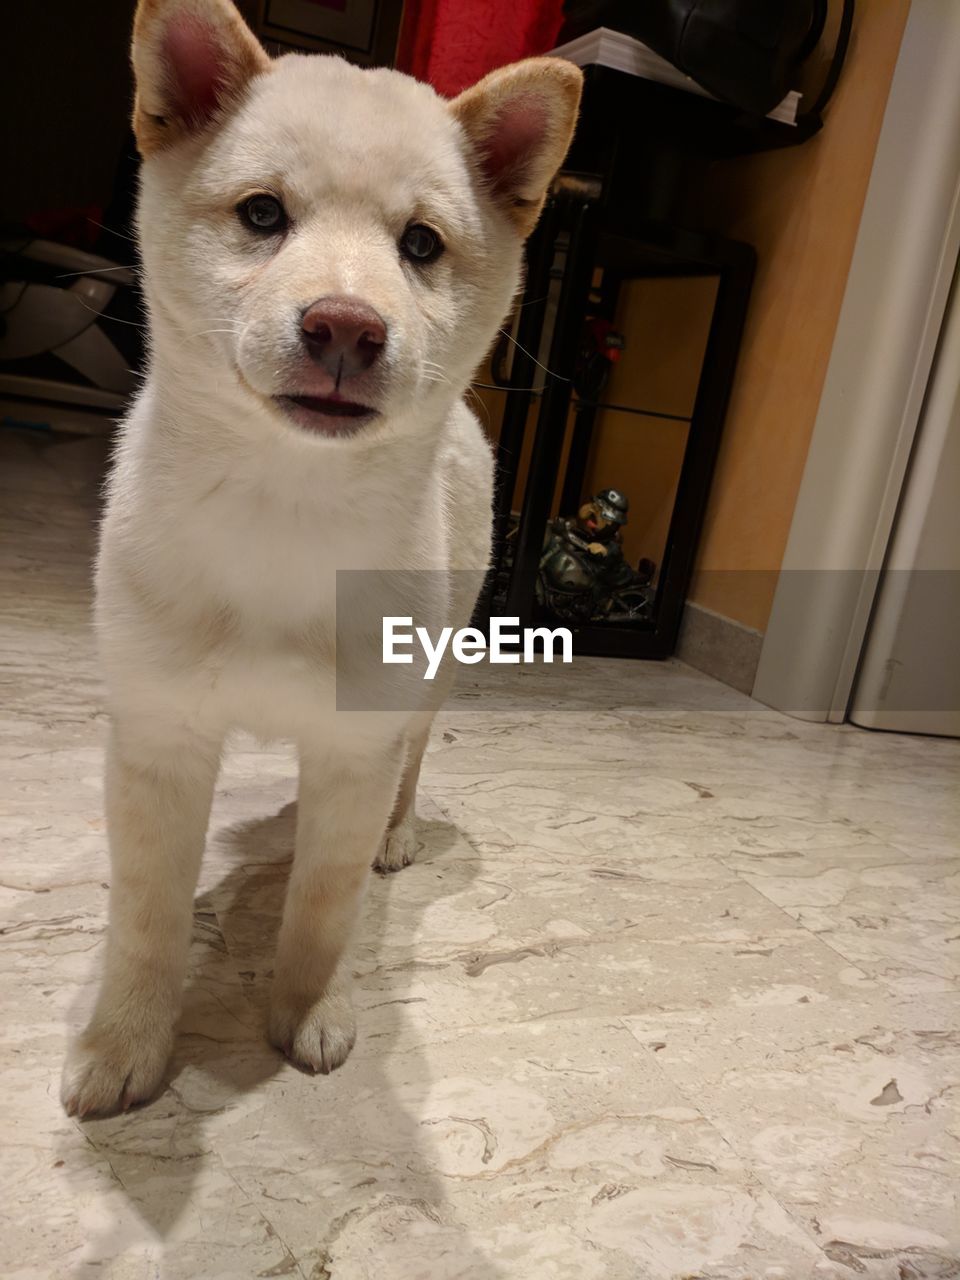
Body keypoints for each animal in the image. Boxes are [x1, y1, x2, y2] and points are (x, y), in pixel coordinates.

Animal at [64, 0, 583, 1121]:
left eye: (421, 243)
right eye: (263, 215)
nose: (346, 326)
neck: (286, 506)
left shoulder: (355, 743)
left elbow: (324, 905)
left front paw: (304, 1009)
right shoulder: (160, 739)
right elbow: (147, 918)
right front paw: (126, 1040)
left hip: (432, 673)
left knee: (408, 764)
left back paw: (395, 832)